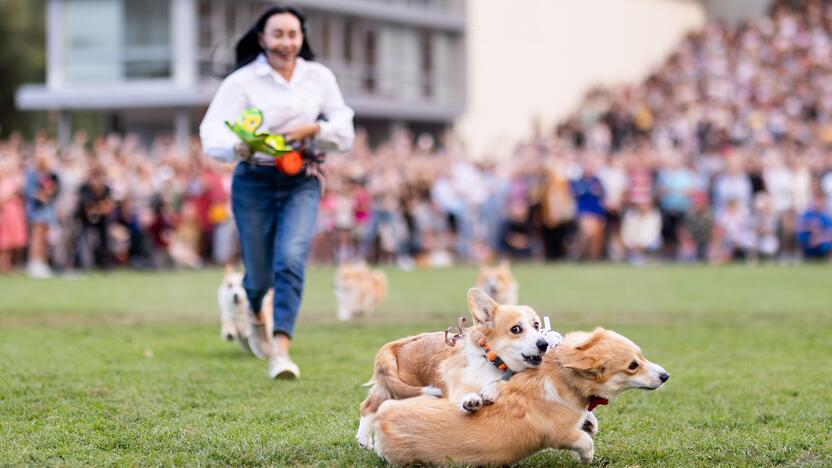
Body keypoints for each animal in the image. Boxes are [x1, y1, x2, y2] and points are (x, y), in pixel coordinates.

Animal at [356, 288, 556, 450]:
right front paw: (471, 400)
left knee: (370, 404)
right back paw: (364, 440)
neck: (493, 362)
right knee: (369, 406)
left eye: (536, 325)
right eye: (516, 329)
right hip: (403, 389)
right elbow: (466, 393)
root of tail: (400, 342)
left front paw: (490, 391)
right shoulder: (458, 383)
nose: (544, 344)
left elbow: (498, 384)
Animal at [374, 328, 668, 466]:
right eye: (633, 365)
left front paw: (590, 421)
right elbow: (584, 441)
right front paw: (587, 458)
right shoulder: (561, 434)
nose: (666, 376)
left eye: (641, 356)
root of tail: (382, 420)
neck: (561, 375)